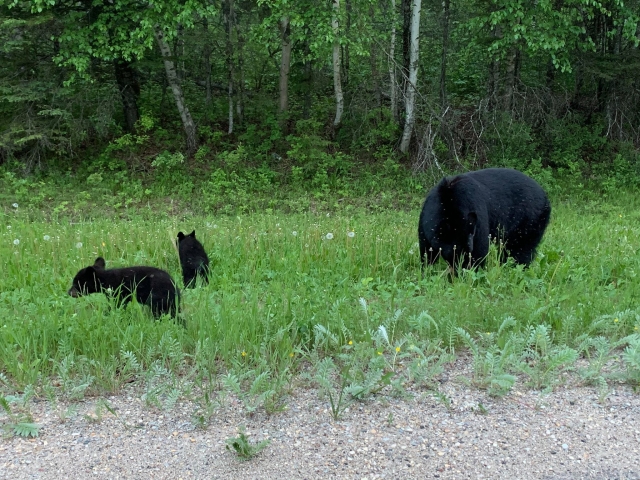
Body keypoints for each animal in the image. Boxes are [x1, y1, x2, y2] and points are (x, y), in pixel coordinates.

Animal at [420, 167, 552, 268]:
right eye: (456, 252)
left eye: (467, 252)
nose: (462, 267)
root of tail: (545, 196)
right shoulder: (425, 220)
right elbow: (426, 249)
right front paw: (427, 268)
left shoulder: (475, 211)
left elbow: (480, 246)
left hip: (529, 220)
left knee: (520, 249)